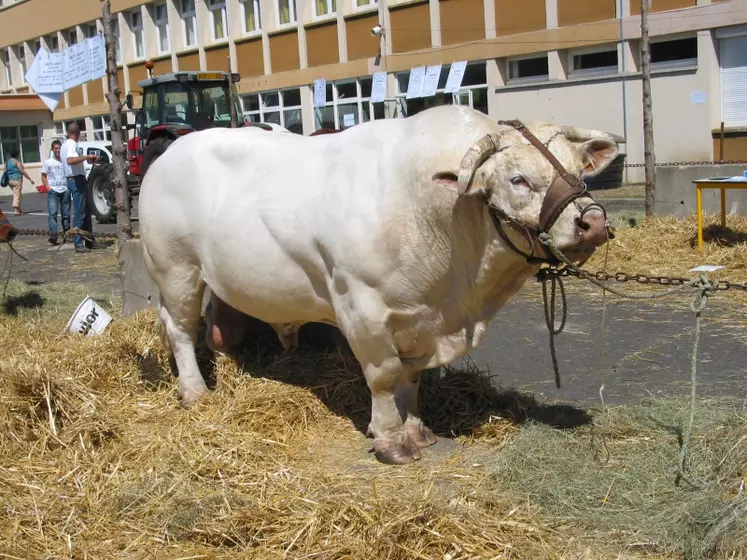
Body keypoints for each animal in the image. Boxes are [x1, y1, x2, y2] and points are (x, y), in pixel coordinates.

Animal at [139, 105, 620, 464]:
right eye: (519, 180)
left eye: (579, 171)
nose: (593, 222)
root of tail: (173, 151)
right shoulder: (361, 307)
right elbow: (385, 375)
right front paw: (389, 439)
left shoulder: (422, 320)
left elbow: (412, 377)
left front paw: (416, 429)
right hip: (176, 270)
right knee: (181, 330)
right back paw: (195, 392)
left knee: (218, 328)